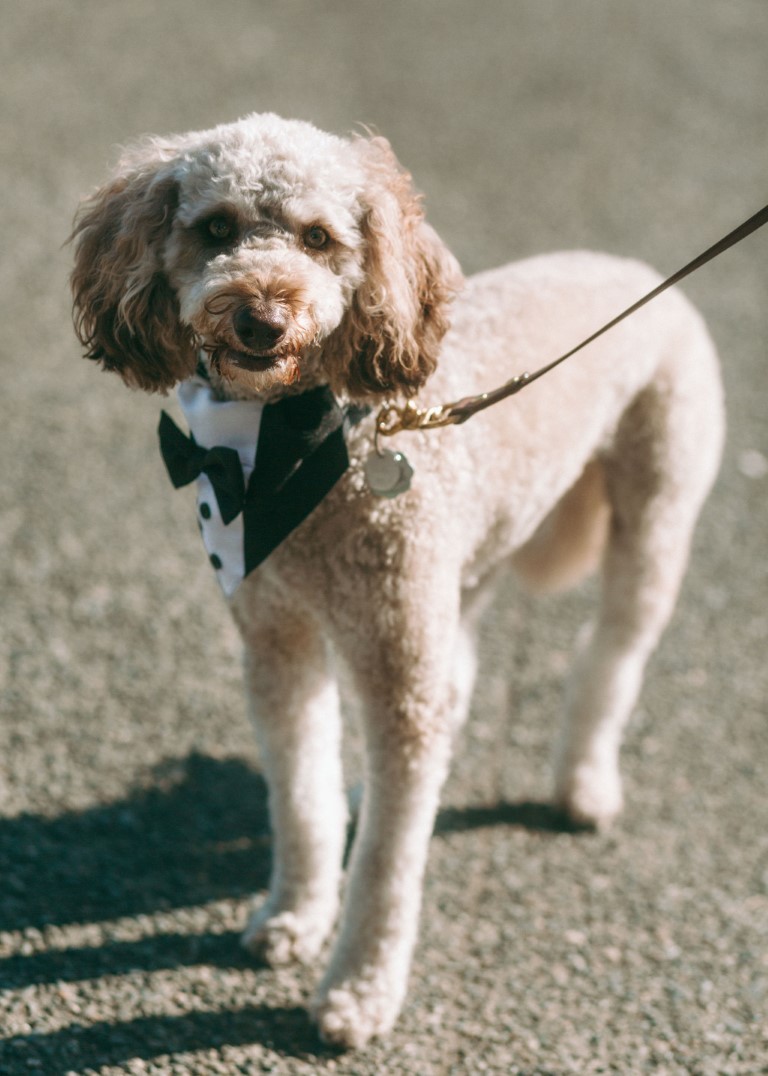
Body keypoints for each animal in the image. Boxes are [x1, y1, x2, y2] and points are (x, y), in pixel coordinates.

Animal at [68, 113, 722, 1045]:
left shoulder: (394, 665)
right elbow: (300, 797)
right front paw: (295, 918)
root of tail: (642, 274)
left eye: (319, 238)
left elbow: (388, 856)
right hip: (460, 570)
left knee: (612, 656)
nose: (261, 316)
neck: (306, 445)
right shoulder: (280, 643)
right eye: (216, 229)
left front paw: (358, 991)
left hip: (655, 517)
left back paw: (584, 785)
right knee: (464, 675)